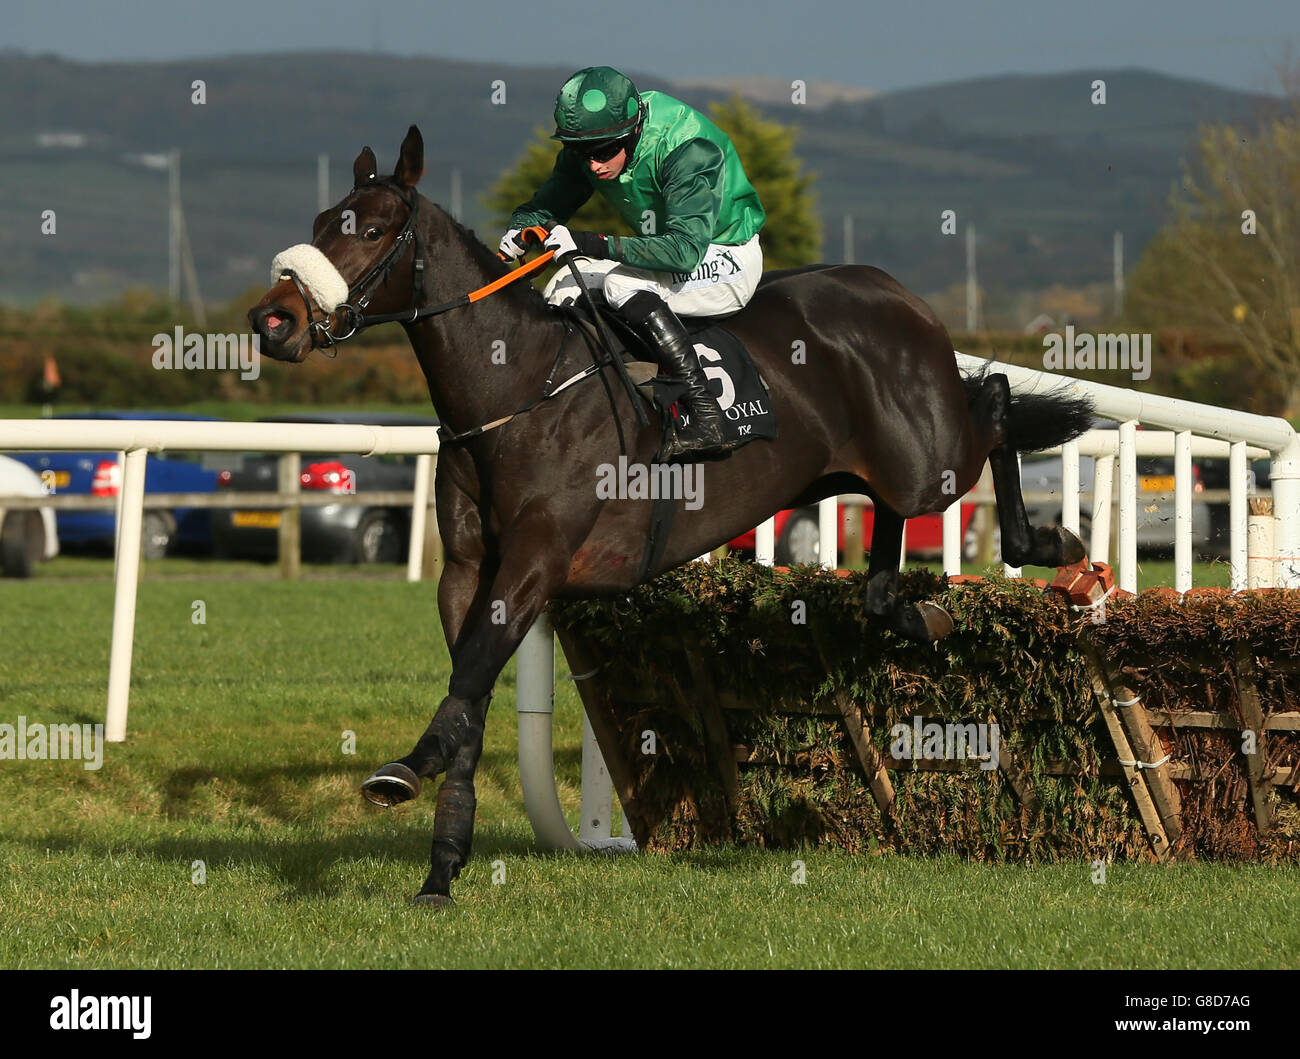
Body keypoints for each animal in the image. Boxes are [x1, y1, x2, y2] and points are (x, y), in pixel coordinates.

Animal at [248, 124, 1092, 904]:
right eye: (321, 220)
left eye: (374, 230)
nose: (273, 320)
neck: (516, 389)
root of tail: (900, 294)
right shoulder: (464, 569)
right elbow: (470, 690)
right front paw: (441, 868)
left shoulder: (536, 559)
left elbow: (472, 677)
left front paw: (404, 769)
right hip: (870, 470)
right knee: (894, 545)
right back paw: (918, 610)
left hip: (929, 463)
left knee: (996, 403)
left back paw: (1054, 539)